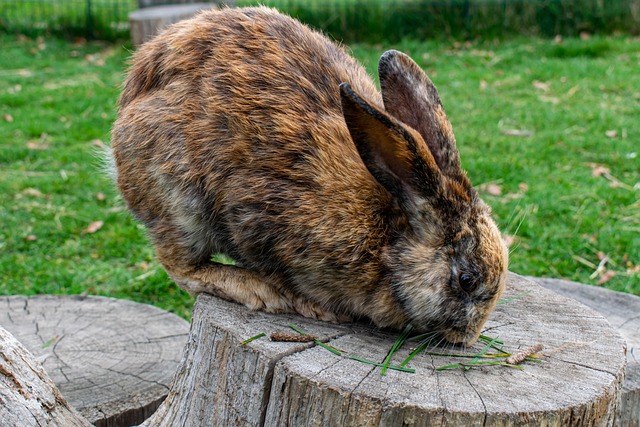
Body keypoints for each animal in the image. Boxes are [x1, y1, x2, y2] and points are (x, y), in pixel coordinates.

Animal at [111, 6, 510, 346]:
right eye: (467, 280)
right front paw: (310, 305)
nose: (469, 338)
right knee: (181, 265)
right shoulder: (257, 218)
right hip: (178, 195)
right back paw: (260, 290)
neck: (389, 240)